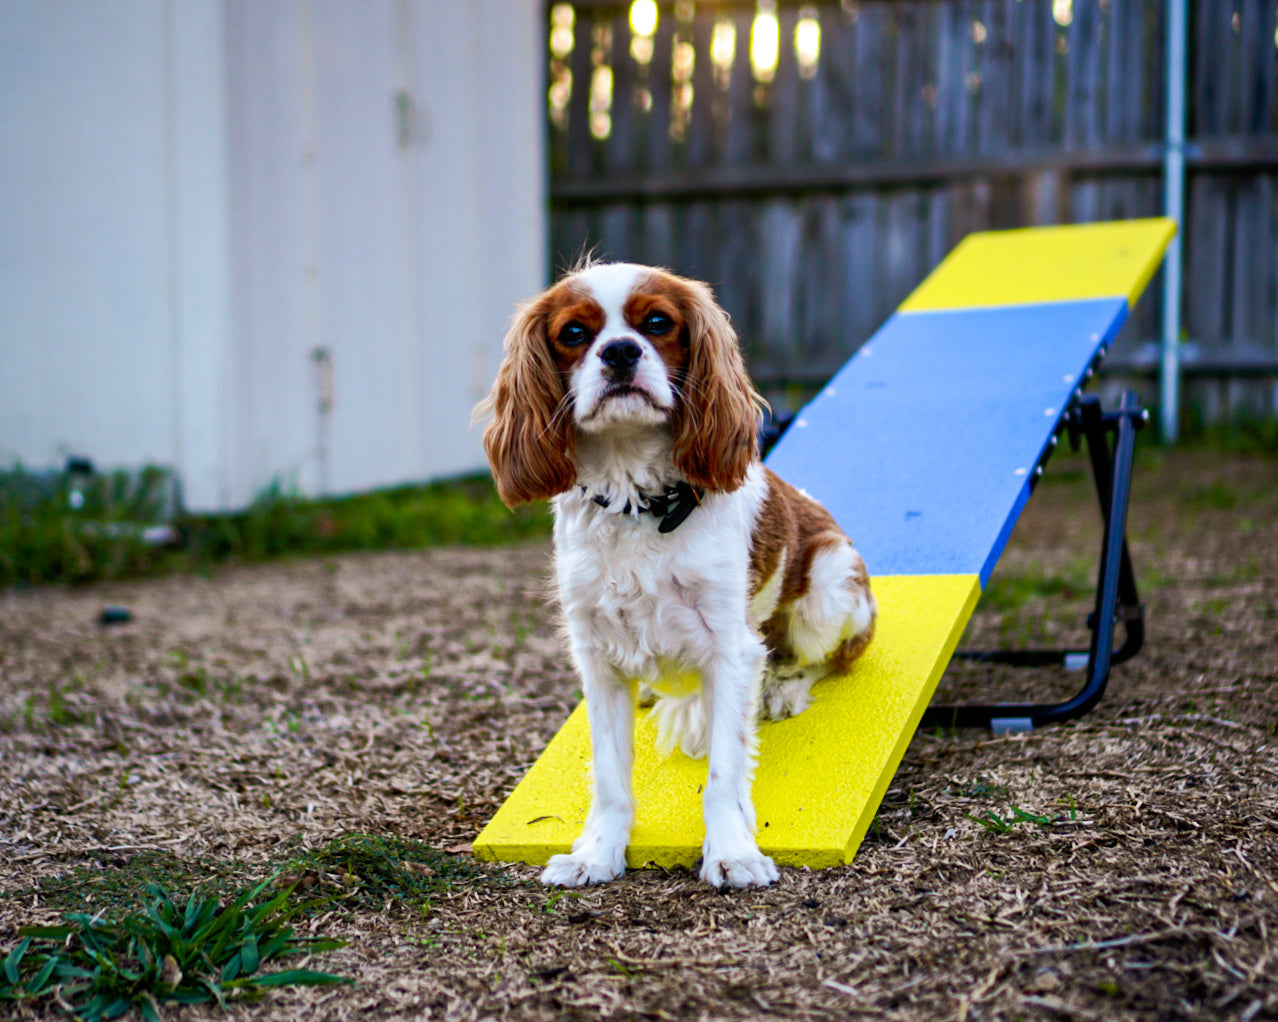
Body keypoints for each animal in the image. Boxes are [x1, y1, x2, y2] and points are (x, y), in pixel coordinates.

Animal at [475, 261, 874, 884]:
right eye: (573, 333)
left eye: (659, 323)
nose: (619, 351)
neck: (635, 499)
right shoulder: (598, 658)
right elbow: (610, 776)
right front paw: (596, 855)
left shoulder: (732, 646)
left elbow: (725, 773)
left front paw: (733, 853)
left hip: (830, 586)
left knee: (827, 658)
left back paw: (784, 688)